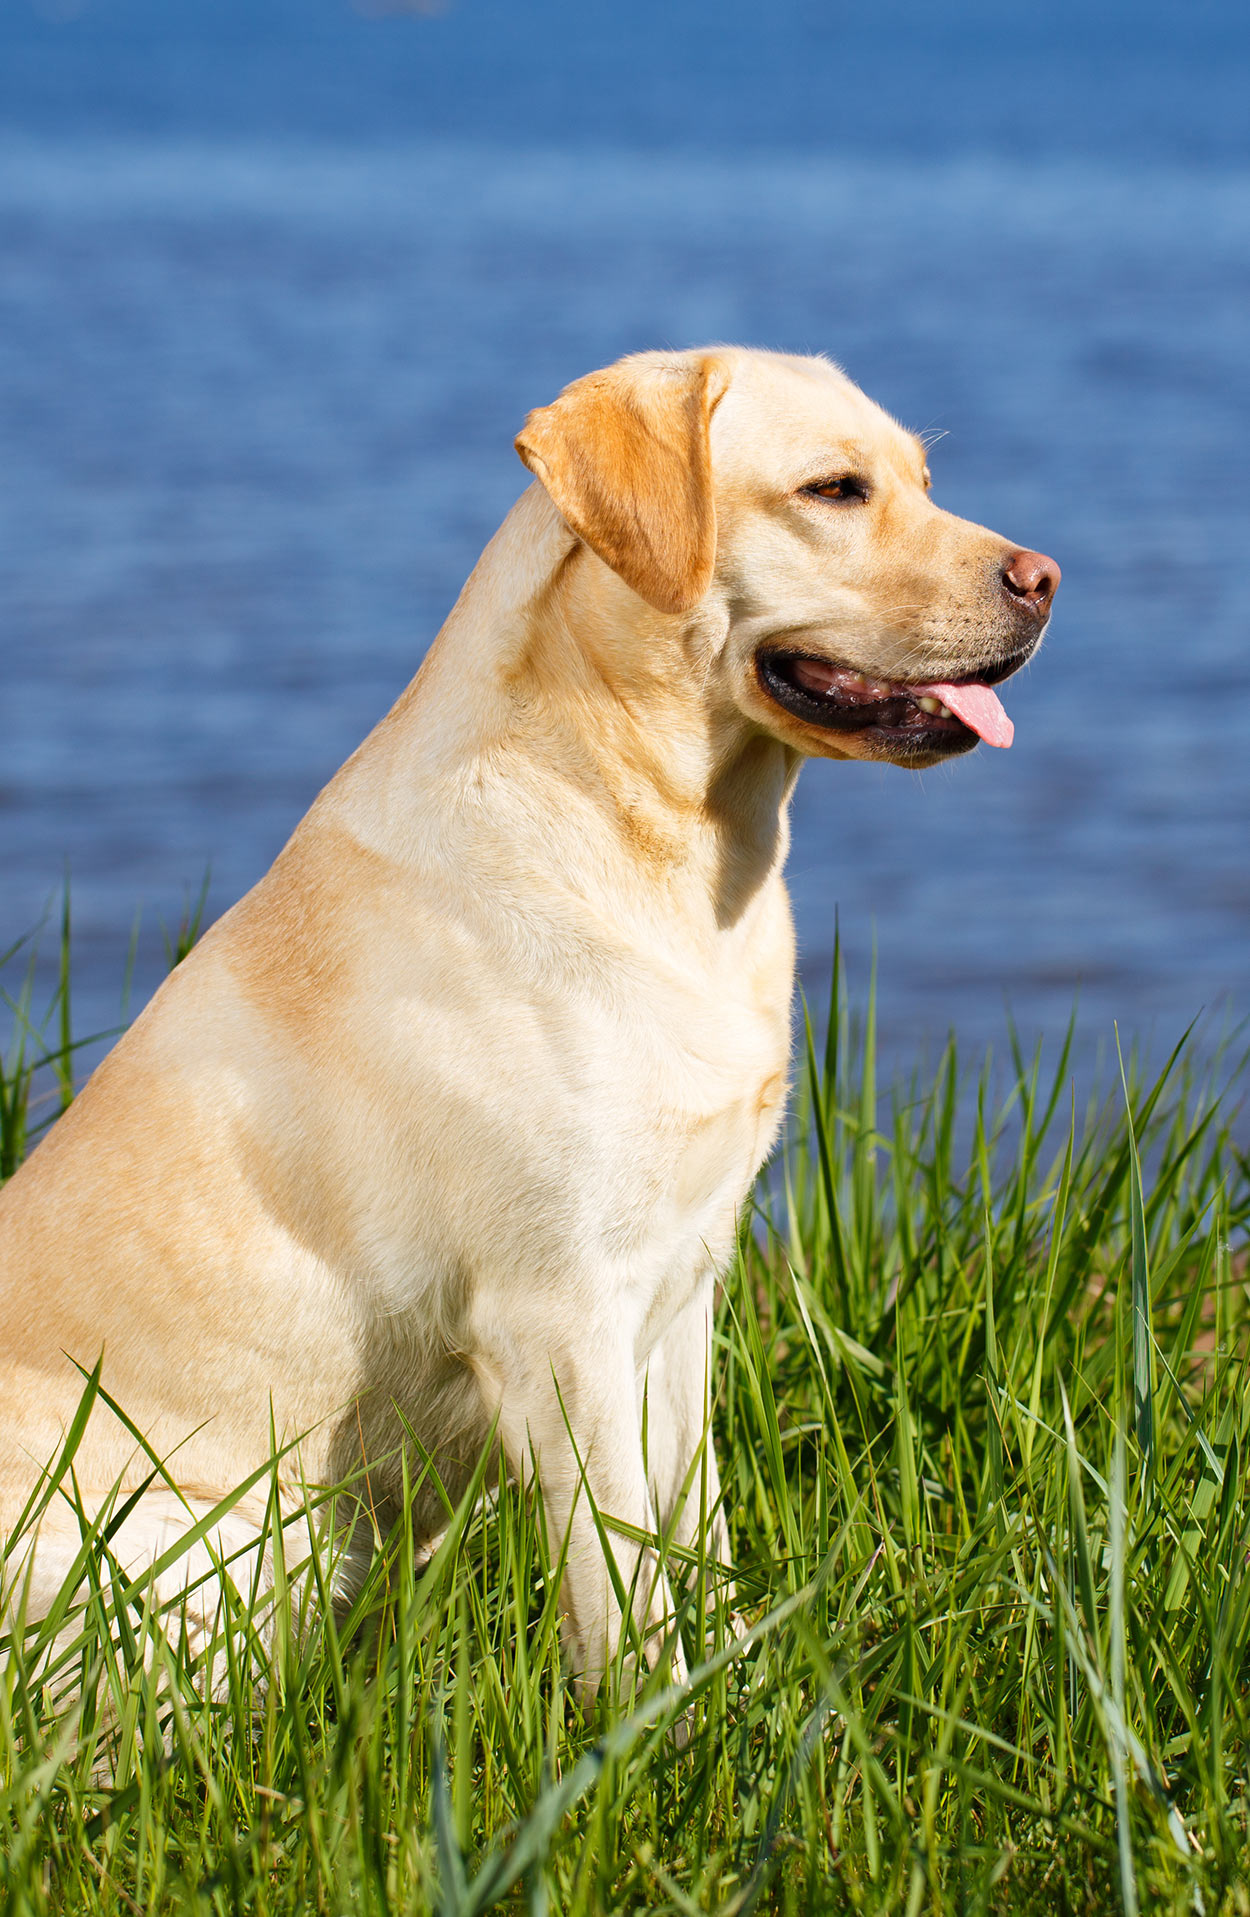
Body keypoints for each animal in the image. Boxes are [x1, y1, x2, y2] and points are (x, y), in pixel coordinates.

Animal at [0, 348, 1058, 1694]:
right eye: (834, 489)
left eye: (921, 478)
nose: (1045, 578)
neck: (662, 841)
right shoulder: (554, 1311)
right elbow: (621, 1589)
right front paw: (658, 1728)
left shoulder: (679, 1289)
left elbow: (696, 1535)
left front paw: (738, 1699)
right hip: (209, 1544)